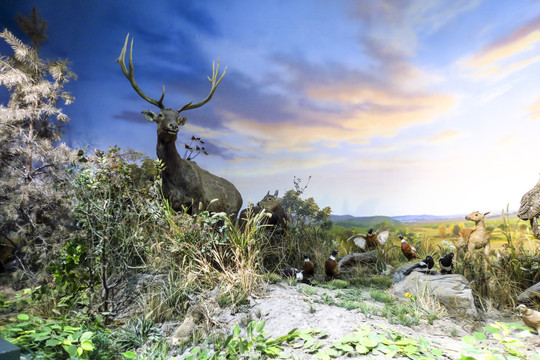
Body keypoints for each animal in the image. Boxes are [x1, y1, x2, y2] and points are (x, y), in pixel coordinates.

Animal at [116, 33, 243, 218]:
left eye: (178, 117)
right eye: (160, 115)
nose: (173, 126)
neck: (176, 182)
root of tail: (240, 196)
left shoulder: (199, 201)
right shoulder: (168, 202)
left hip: (233, 214)